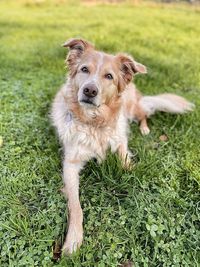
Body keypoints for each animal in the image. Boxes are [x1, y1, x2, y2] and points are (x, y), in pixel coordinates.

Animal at [51, 38, 194, 255]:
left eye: (109, 76)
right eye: (84, 69)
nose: (90, 90)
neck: (94, 122)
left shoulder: (121, 143)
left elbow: (127, 163)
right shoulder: (70, 164)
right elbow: (76, 207)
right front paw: (73, 240)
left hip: (133, 108)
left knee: (144, 114)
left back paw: (144, 129)